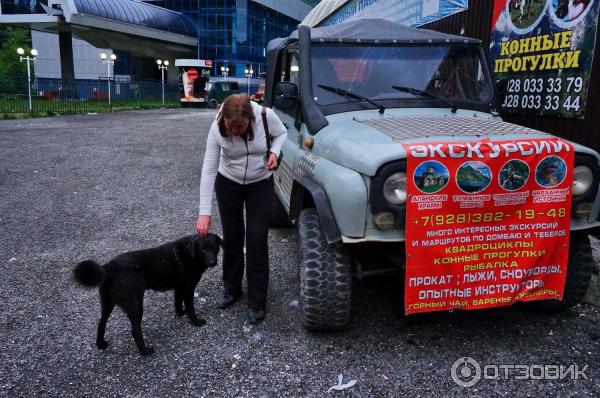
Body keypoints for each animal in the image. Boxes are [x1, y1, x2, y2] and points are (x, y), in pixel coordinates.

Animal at [72, 233, 221, 354]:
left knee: (101, 323)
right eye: (203, 250)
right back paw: (145, 351)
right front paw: (196, 322)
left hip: (107, 303)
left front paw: (180, 313)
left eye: (214, 248)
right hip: (136, 304)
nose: (212, 262)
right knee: (135, 330)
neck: (189, 253)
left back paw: (101, 344)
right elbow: (191, 308)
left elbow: (178, 302)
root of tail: (110, 266)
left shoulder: (179, 287)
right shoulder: (188, 288)